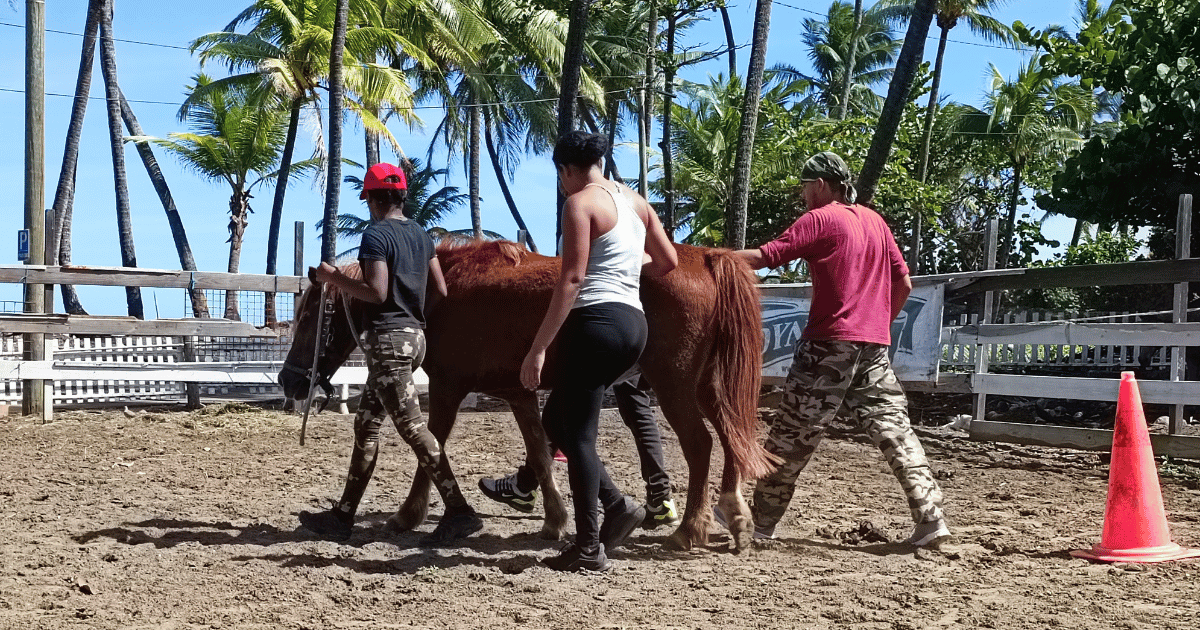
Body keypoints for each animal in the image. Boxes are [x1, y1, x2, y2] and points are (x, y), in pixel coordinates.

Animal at [277, 241, 772, 549]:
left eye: (310, 317)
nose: (289, 381)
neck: (439, 290)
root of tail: (705, 256)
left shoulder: (448, 388)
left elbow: (430, 450)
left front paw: (411, 515)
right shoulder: (518, 393)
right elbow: (537, 449)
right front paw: (555, 519)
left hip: (673, 384)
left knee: (701, 445)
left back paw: (689, 530)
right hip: (709, 386)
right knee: (733, 440)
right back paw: (736, 516)